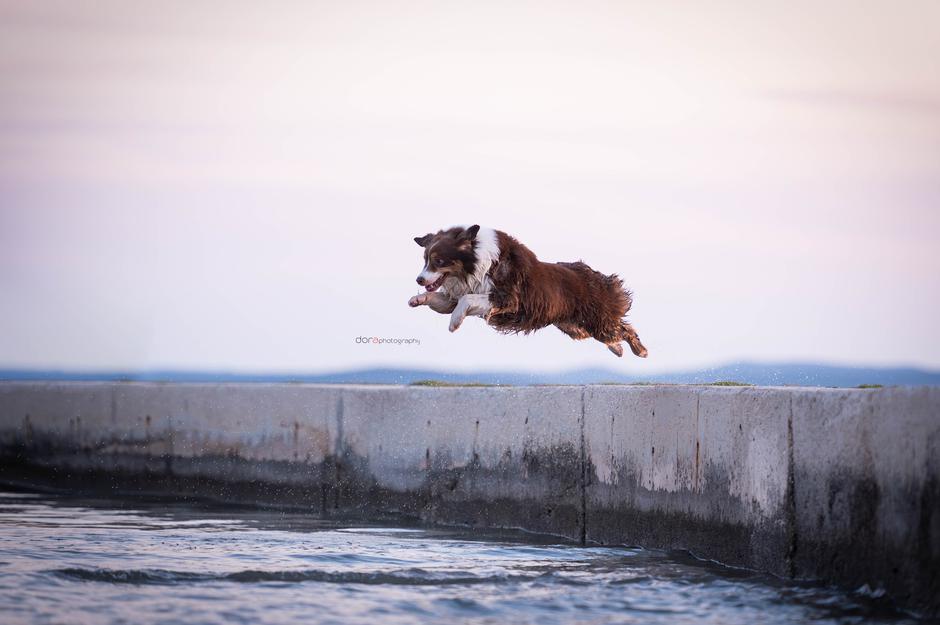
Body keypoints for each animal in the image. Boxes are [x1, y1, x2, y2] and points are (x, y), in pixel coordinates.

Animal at [408, 224, 648, 356]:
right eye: (425, 259)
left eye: (438, 261)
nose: (419, 279)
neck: (478, 263)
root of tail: (598, 277)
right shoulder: (454, 297)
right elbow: (440, 299)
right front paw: (416, 299)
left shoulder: (507, 298)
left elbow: (466, 300)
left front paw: (455, 322)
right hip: (575, 327)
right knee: (611, 335)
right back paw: (618, 349)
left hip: (598, 322)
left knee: (624, 330)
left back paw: (641, 351)